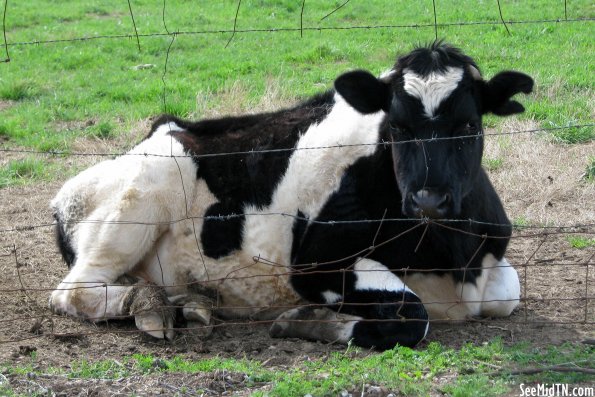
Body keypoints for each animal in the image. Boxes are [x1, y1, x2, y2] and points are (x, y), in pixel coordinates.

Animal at [51, 41, 532, 348]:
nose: (428, 201)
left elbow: (507, 294)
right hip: (138, 202)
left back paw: (189, 304)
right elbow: (413, 317)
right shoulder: (314, 265)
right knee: (72, 292)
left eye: (470, 124)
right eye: (397, 126)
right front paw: (313, 322)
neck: (453, 259)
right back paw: (152, 306)